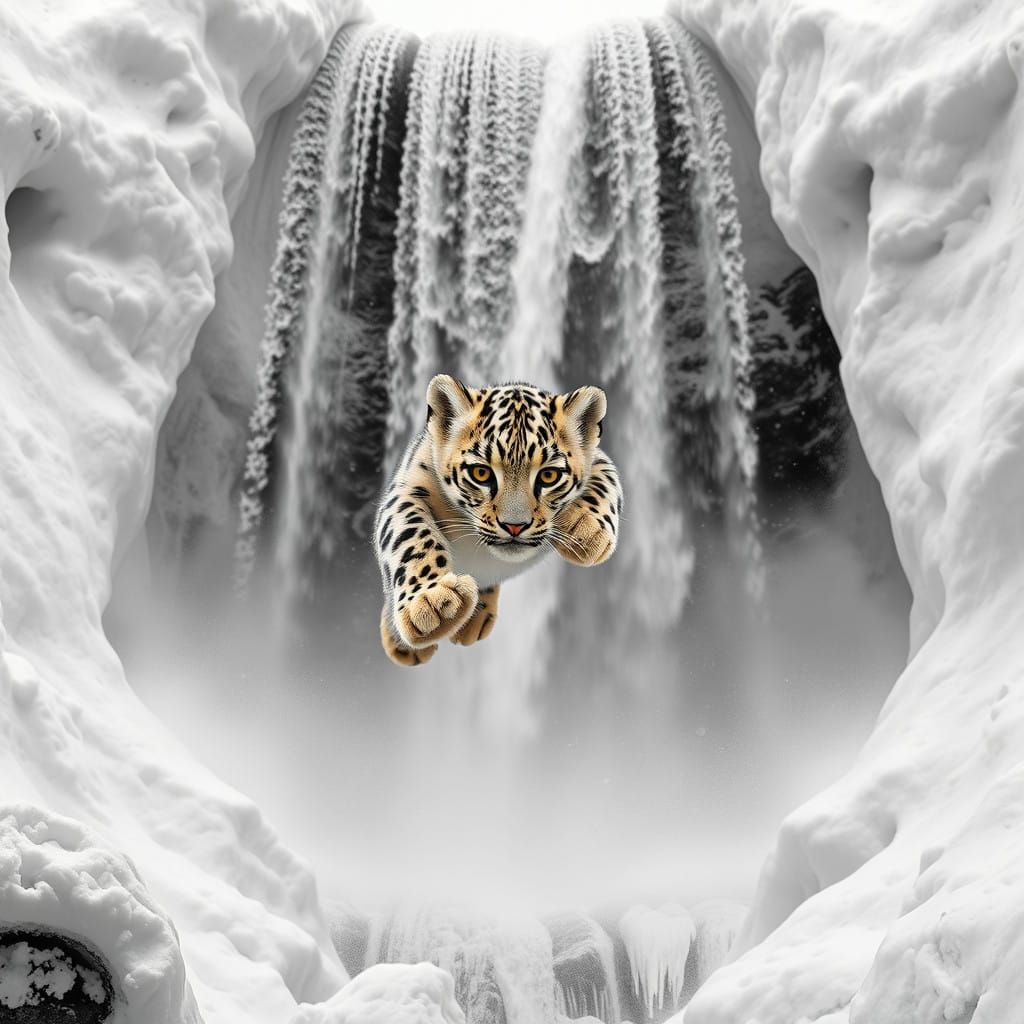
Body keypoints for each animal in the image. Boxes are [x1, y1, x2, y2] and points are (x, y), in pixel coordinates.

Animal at [374, 374, 623, 666]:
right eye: (481, 473)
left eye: (549, 476)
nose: (515, 525)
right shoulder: (409, 487)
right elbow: (410, 535)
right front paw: (432, 602)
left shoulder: (599, 459)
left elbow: (608, 481)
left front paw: (587, 529)